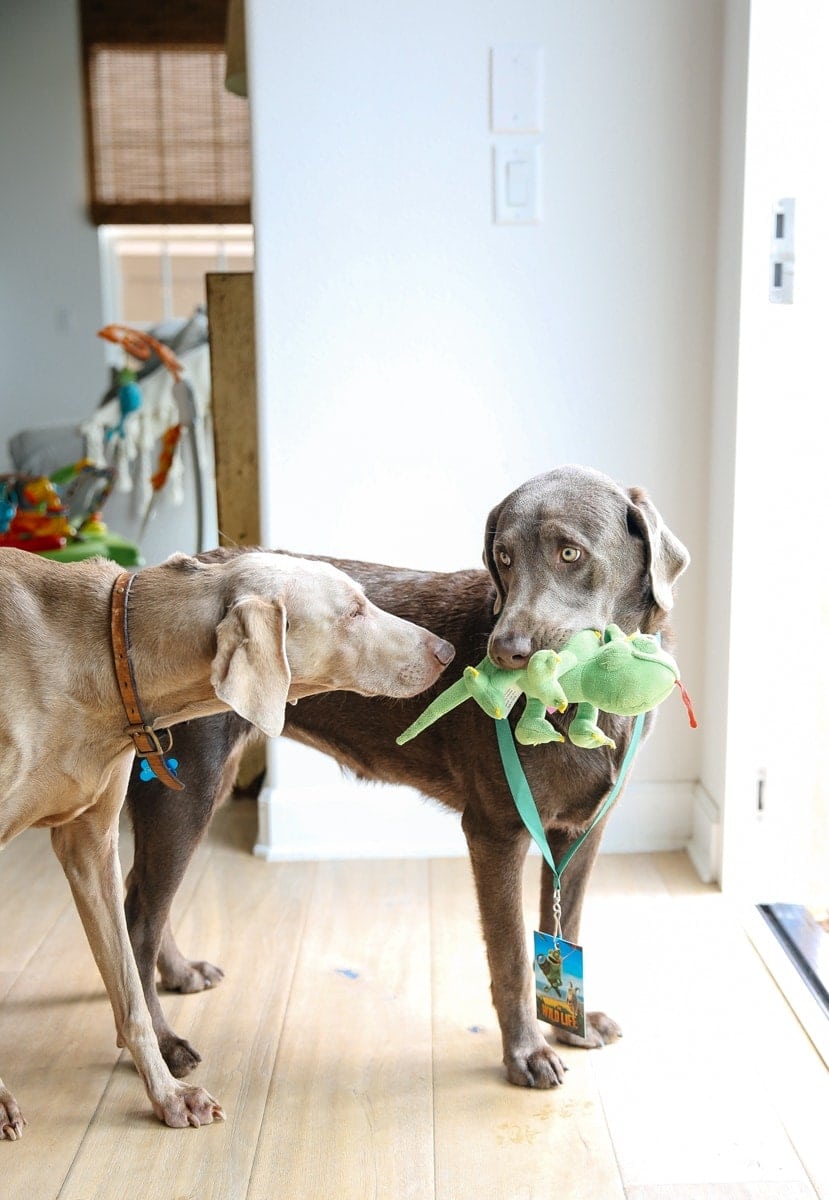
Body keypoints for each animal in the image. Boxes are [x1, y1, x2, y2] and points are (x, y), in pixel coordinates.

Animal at [0, 549, 453, 1137]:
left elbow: (130, 994)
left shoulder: (89, 842)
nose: (447, 652)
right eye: (354, 612)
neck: (107, 652)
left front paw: (168, 1096)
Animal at [126, 463, 691, 1094]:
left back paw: (179, 974)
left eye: (570, 552)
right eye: (503, 556)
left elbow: (561, 923)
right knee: (138, 920)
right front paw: (526, 1053)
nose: (505, 651)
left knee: (140, 896)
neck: (587, 696)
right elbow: (513, 955)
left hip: (202, 783)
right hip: (189, 785)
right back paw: (164, 1045)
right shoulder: (495, 832)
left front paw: (574, 1024)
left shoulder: (583, 831)